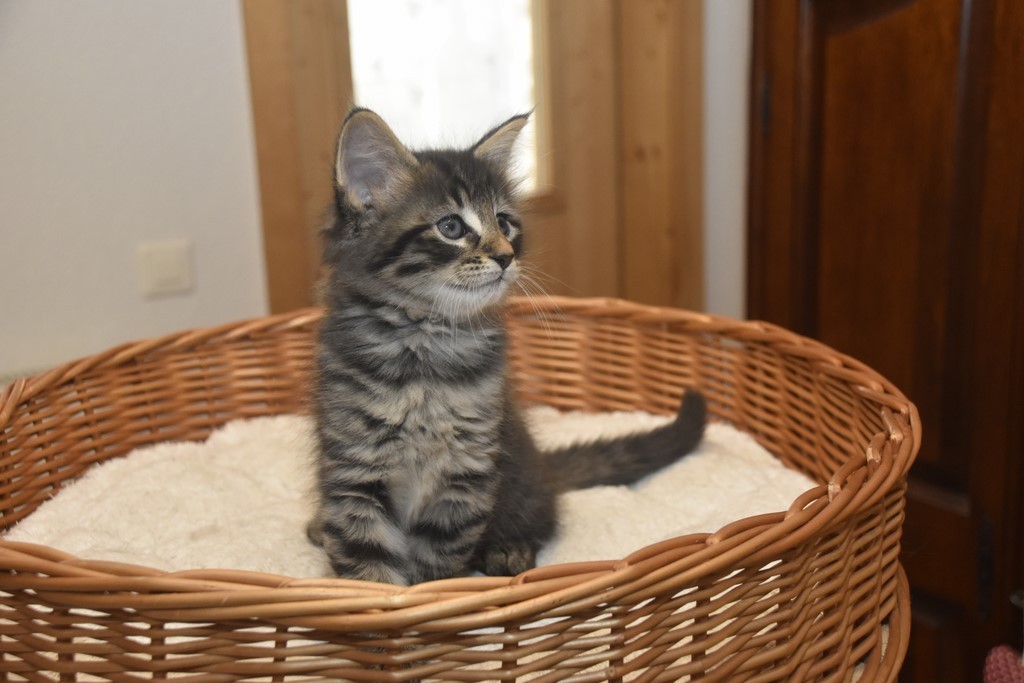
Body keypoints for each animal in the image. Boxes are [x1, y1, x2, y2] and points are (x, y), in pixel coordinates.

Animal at [307, 109, 707, 585]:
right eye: (452, 227)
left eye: (504, 223)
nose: (505, 256)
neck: (424, 343)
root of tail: (546, 471)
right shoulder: (355, 469)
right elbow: (367, 565)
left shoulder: (467, 470)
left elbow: (437, 565)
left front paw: (434, 596)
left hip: (521, 488)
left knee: (538, 522)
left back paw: (508, 550)